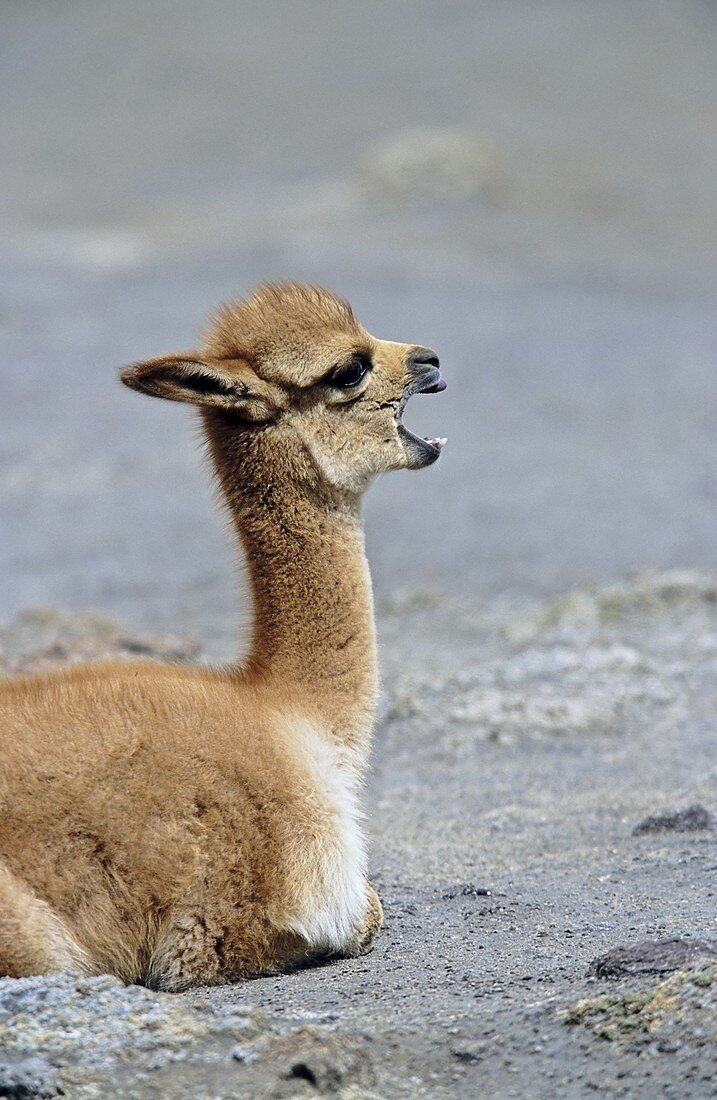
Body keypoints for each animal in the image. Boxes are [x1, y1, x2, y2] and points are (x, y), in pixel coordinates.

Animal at [0, 283, 444, 990]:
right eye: (349, 368)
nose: (430, 359)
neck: (290, 717)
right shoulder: (222, 928)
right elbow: (366, 913)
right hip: (34, 937)